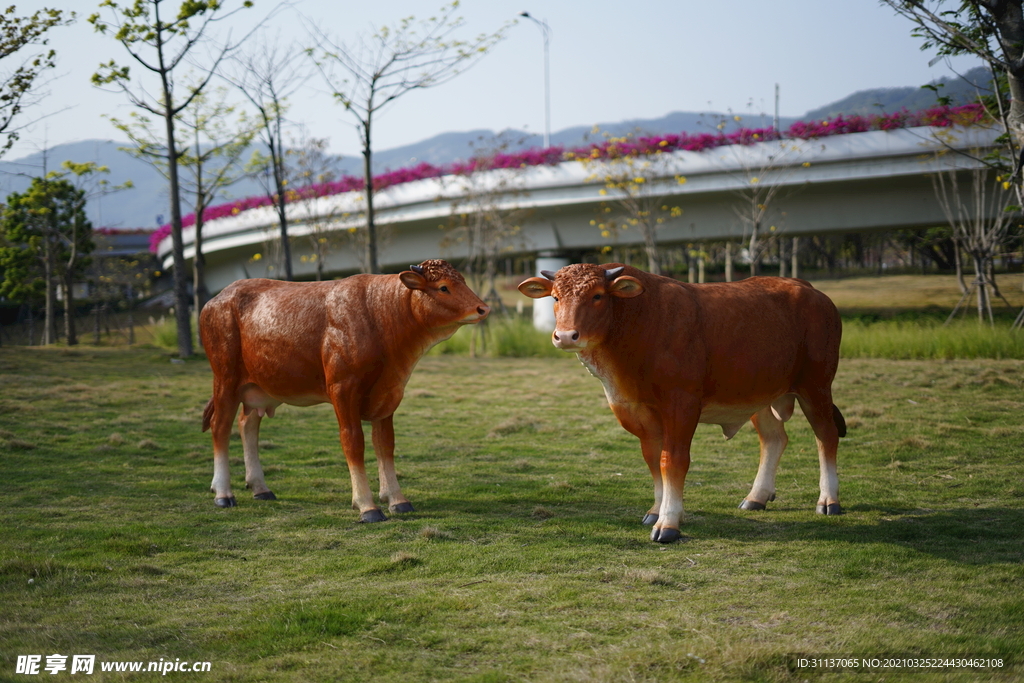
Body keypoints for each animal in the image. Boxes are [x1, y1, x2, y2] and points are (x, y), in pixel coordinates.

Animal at [201, 259, 489, 520]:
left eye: (463, 280)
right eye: (443, 287)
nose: (483, 308)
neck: (380, 317)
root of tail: (219, 297)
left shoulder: (388, 393)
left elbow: (385, 444)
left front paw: (397, 499)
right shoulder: (343, 388)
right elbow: (353, 442)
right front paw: (367, 506)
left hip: (259, 386)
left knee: (247, 425)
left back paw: (260, 488)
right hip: (225, 378)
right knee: (220, 426)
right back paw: (223, 493)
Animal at [520, 264, 847, 544]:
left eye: (597, 295)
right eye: (555, 297)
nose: (565, 335)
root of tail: (808, 288)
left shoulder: (682, 404)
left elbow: (673, 460)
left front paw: (668, 523)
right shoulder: (639, 412)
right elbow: (654, 460)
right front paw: (657, 509)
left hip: (816, 385)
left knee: (826, 436)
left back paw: (829, 500)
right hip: (759, 394)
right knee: (774, 439)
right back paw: (757, 497)